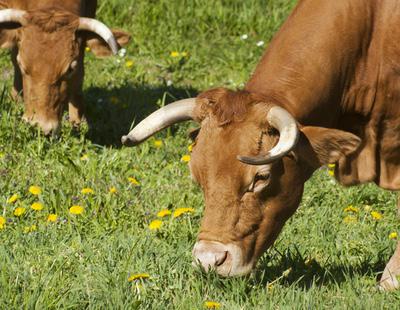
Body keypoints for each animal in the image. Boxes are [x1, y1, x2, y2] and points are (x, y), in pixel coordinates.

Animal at [0, 0, 130, 134]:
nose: (41, 127)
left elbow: (78, 78)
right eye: (22, 64)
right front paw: (16, 101)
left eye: (70, 69)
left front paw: (78, 122)